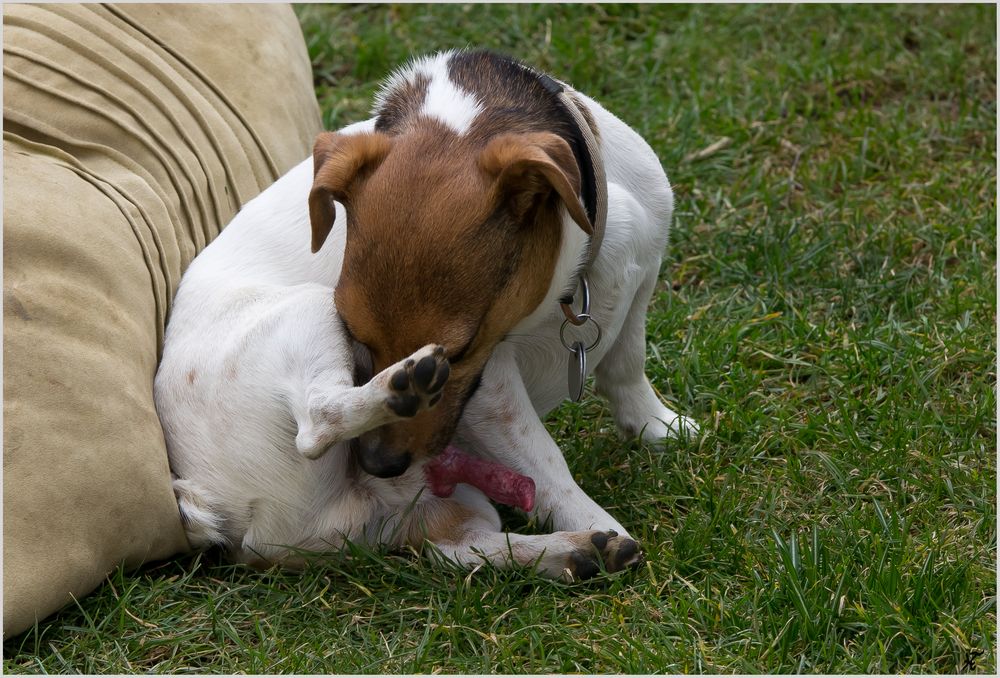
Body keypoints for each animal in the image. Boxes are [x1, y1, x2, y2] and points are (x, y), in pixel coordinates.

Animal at [154, 50, 696, 584]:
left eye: (462, 347)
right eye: (355, 336)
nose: (379, 463)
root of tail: (210, 502)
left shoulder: (641, 281)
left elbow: (626, 366)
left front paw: (656, 428)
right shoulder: (490, 386)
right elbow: (545, 462)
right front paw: (595, 517)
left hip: (440, 502)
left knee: (460, 551)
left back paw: (573, 552)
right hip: (310, 311)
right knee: (318, 421)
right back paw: (401, 390)